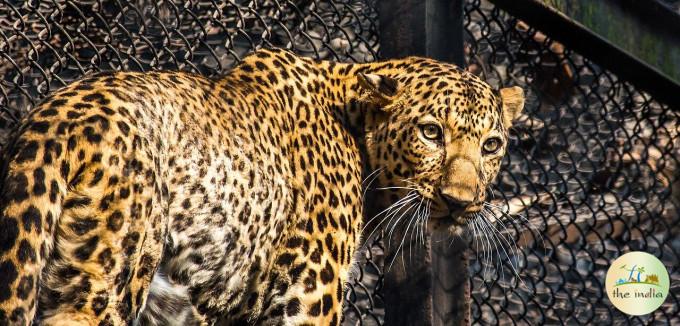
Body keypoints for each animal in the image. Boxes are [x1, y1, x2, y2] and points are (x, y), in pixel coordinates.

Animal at [0, 47, 524, 324]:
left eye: (492, 145)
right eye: (431, 132)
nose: (460, 201)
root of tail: (54, 123)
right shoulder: (308, 297)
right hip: (108, 279)